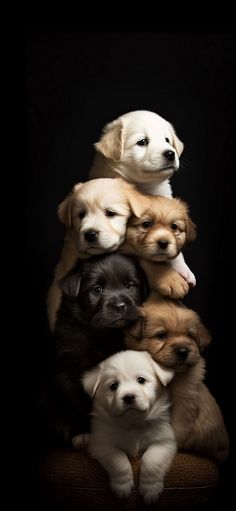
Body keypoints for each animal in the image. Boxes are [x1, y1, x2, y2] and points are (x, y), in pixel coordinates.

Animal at [45, 254, 148, 446]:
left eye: (129, 285)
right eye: (97, 289)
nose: (121, 306)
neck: (104, 335)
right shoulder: (70, 369)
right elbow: (80, 403)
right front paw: (85, 432)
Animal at [76, 350, 176, 506]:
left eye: (141, 380)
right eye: (113, 386)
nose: (128, 397)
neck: (132, 423)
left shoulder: (165, 442)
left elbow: (151, 460)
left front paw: (150, 489)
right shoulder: (101, 443)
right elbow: (118, 459)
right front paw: (122, 487)